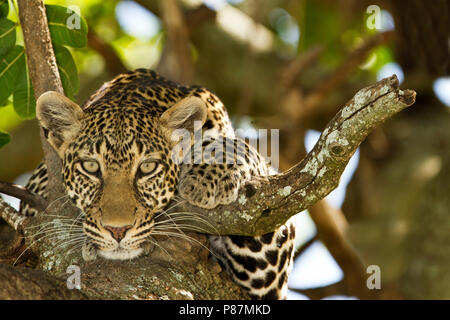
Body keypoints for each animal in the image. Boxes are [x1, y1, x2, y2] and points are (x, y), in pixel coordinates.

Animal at [20, 69, 296, 300]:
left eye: (147, 168)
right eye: (90, 167)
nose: (117, 231)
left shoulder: (267, 276)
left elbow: (236, 145)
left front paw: (206, 178)